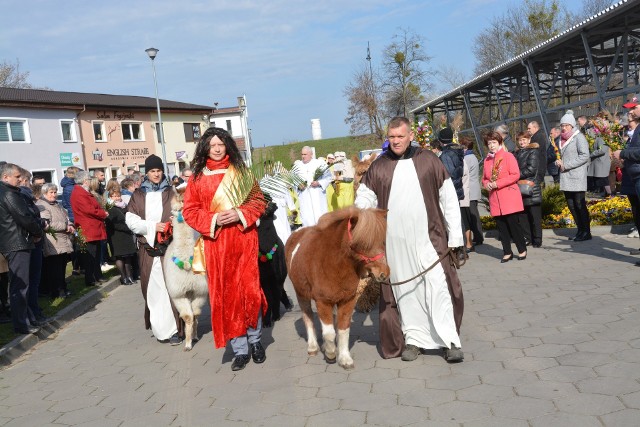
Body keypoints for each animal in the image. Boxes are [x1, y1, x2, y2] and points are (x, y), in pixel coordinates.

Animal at [286, 206, 390, 370]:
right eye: (362, 243)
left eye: (383, 241)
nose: (383, 273)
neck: (334, 264)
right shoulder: (323, 302)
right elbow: (329, 332)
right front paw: (330, 355)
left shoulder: (347, 301)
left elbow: (342, 330)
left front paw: (345, 359)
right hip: (301, 295)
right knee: (308, 317)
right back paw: (313, 347)